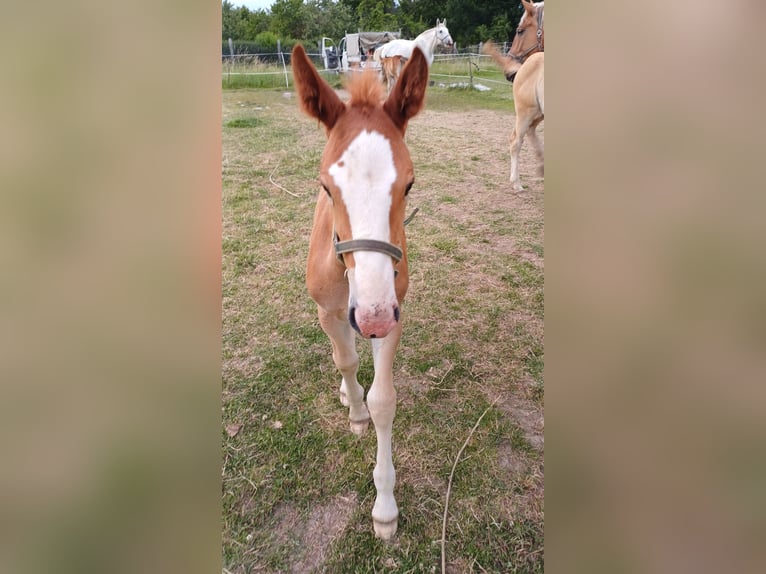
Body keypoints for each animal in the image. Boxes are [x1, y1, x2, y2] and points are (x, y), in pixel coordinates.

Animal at [292, 44, 428, 540]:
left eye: (409, 183)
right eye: (325, 186)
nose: (372, 318)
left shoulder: (394, 310)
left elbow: (383, 400)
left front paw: (385, 509)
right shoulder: (330, 311)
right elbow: (346, 361)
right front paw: (353, 411)